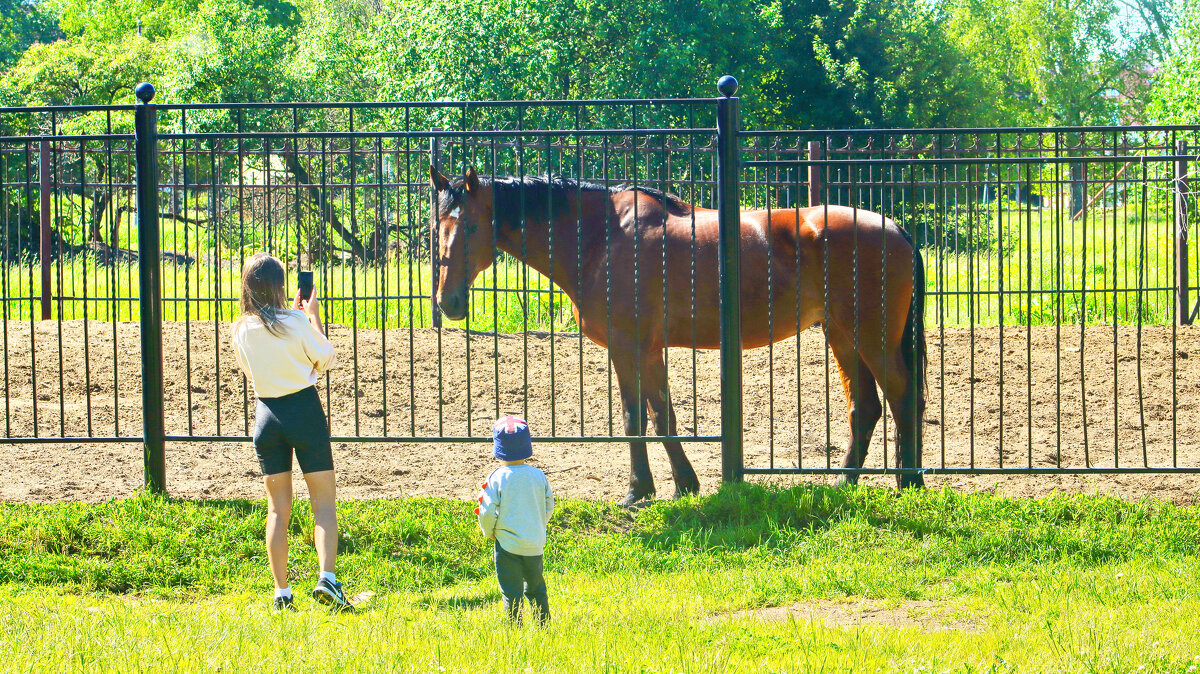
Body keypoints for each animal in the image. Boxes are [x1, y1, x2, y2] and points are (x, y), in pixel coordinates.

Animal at [432, 166, 926, 503]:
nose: (447, 302)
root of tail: (896, 229)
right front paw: (684, 485)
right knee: (866, 406)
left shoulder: (627, 348)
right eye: (438, 226)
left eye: (471, 225)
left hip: (872, 336)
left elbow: (634, 418)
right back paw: (845, 482)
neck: (602, 238)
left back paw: (910, 481)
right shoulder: (650, 353)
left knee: (903, 397)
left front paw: (639, 490)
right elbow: (662, 416)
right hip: (842, 335)